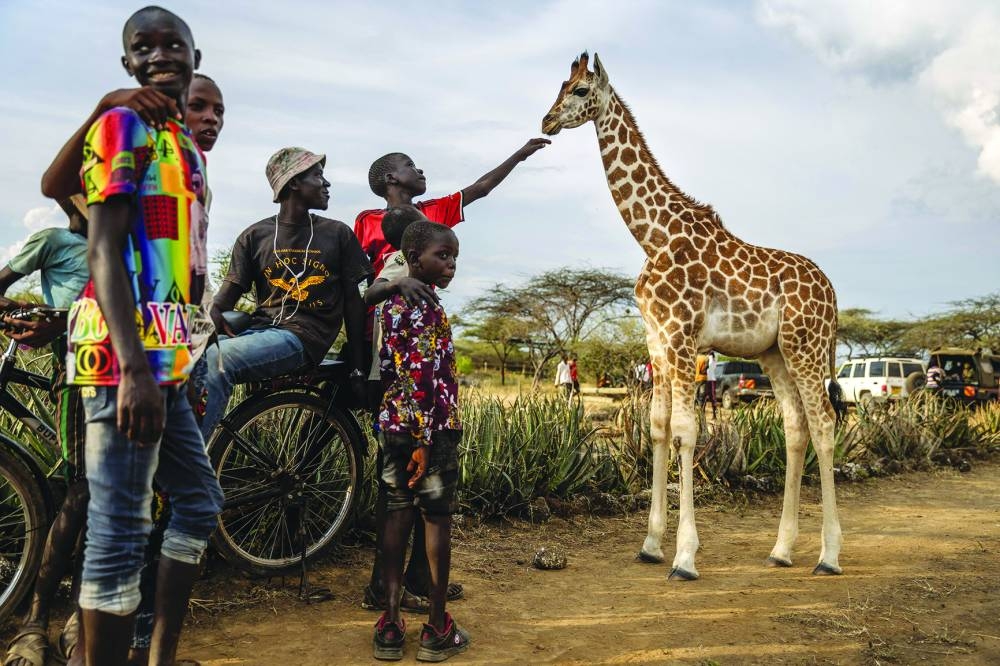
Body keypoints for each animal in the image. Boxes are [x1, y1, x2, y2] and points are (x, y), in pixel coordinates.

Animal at [542, 52, 843, 580]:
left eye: (579, 90)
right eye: (559, 85)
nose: (546, 121)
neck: (654, 234)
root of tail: (832, 292)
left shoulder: (682, 337)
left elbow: (686, 432)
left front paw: (684, 557)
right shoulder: (657, 342)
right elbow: (658, 428)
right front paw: (650, 544)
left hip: (805, 346)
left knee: (824, 423)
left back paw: (828, 556)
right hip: (775, 353)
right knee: (795, 426)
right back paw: (781, 550)